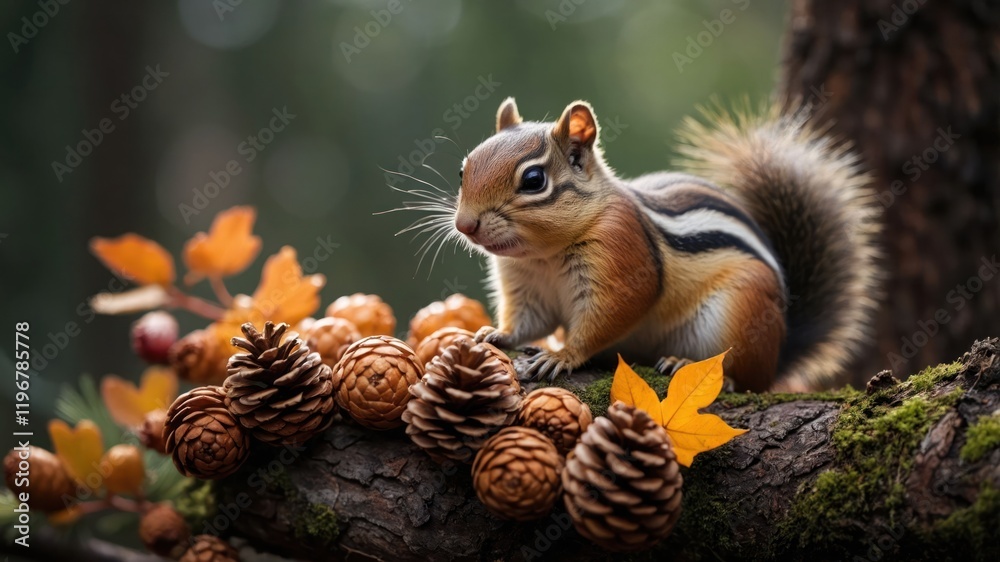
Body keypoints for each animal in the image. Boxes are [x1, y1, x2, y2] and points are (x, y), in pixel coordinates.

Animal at [452, 98, 880, 392]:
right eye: (463, 170)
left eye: (534, 180)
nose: (464, 225)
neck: (545, 255)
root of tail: (780, 351)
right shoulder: (527, 287)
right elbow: (529, 322)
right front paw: (497, 334)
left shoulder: (623, 255)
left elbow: (611, 314)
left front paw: (561, 355)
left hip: (741, 313)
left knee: (747, 378)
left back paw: (696, 369)